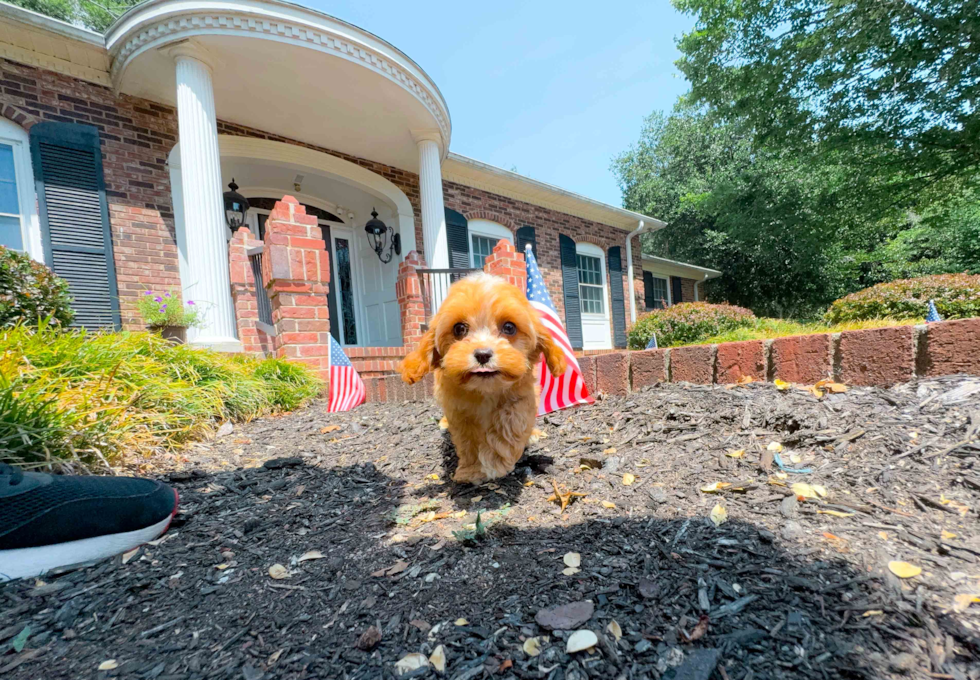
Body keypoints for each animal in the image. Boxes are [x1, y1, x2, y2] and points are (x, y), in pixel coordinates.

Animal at [398, 272, 568, 484]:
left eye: (509, 327)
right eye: (459, 329)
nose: (483, 354)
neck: (485, 391)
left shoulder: (522, 397)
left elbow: (509, 423)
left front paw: (493, 463)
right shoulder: (459, 412)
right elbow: (468, 441)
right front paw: (471, 470)